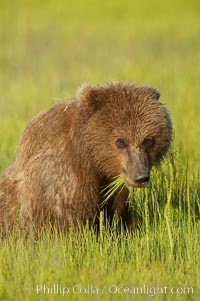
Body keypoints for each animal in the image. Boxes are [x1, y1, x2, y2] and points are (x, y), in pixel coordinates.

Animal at [0, 81, 172, 232]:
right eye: (120, 141)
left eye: (148, 140)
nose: (140, 176)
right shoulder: (65, 177)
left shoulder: (111, 182)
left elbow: (117, 215)